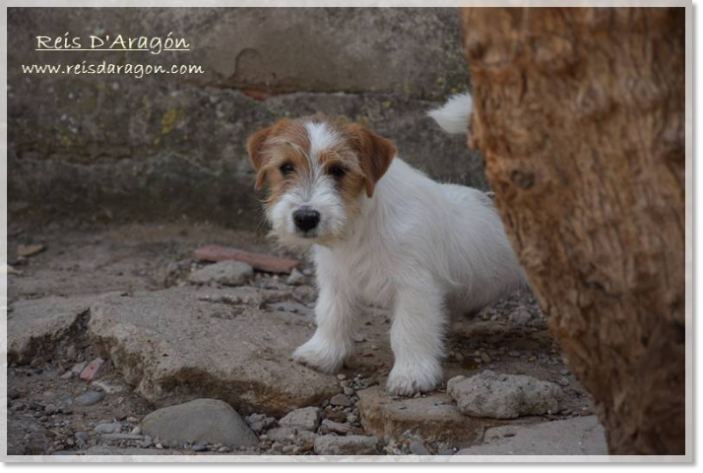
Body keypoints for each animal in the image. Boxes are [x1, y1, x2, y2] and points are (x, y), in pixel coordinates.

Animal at [250, 93, 524, 394]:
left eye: (338, 170)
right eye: (286, 167)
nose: (306, 217)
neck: (358, 224)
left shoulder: (415, 288)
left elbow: (409, 331)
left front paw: (411, 374)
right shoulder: (336, 280)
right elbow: (331, 316)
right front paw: (321, 354)